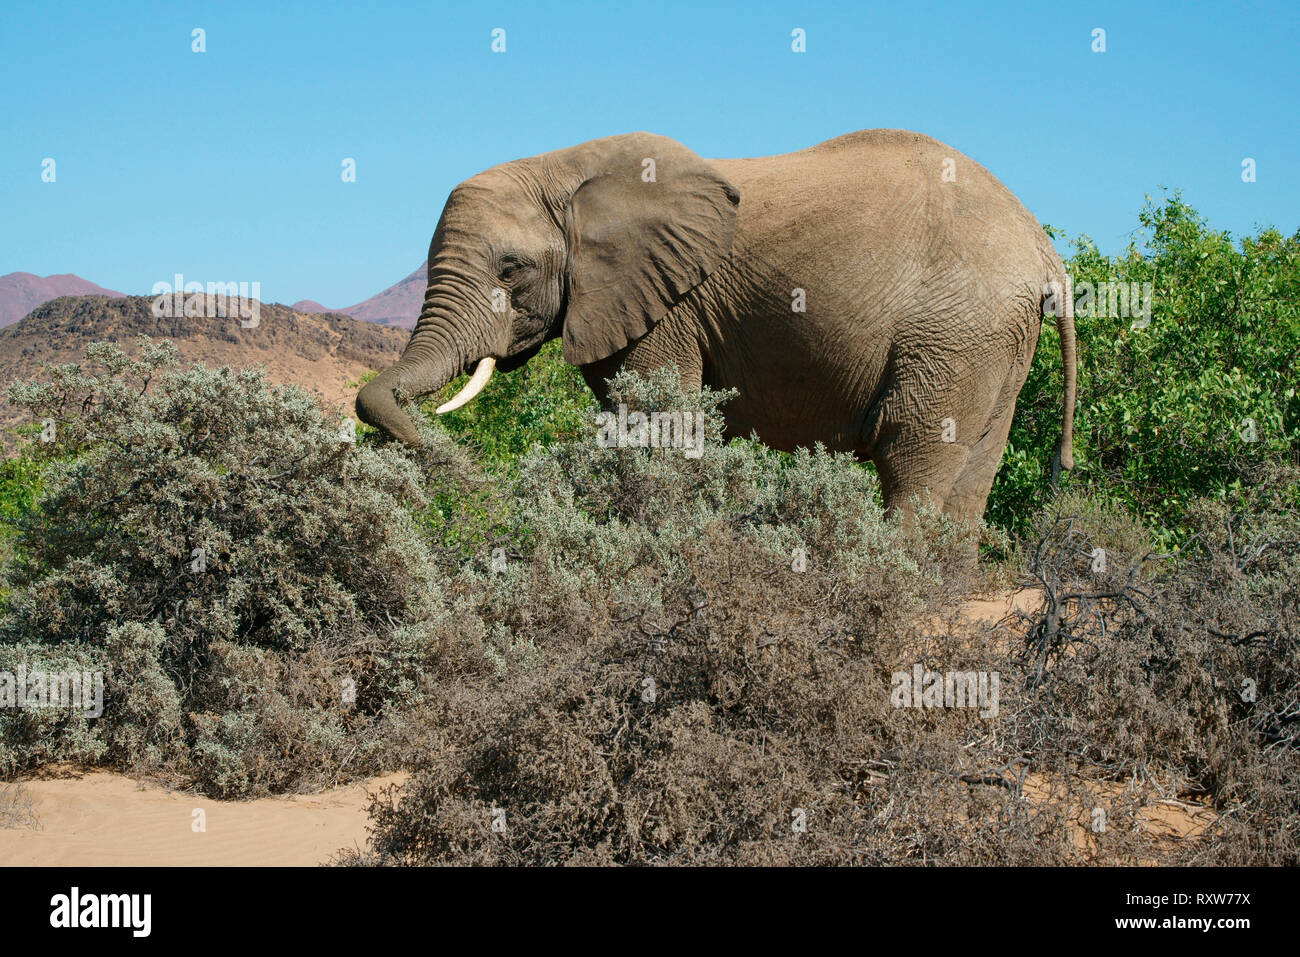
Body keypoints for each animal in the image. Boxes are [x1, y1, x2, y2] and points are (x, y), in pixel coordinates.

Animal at [357, 129, 1077, 527]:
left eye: (511, 270)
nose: (471, 485)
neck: (565, 168)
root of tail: (1046, 253)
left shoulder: (665, 304)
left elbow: (660, 426)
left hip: (955, 333)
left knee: (912, 461)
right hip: (994, 343)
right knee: (971, 479)